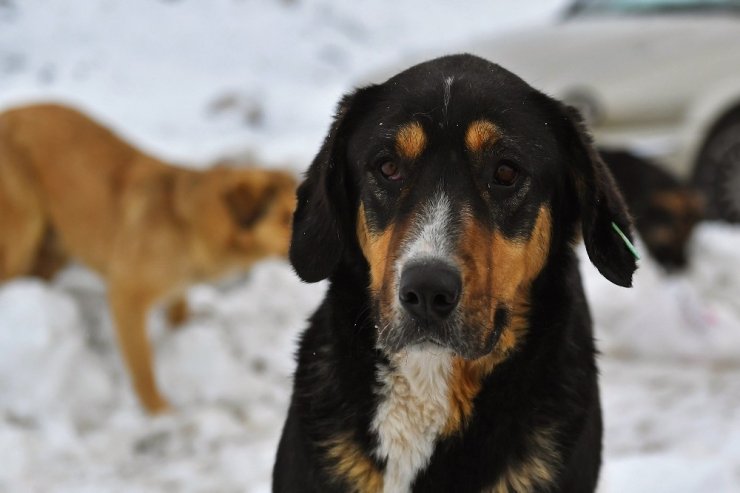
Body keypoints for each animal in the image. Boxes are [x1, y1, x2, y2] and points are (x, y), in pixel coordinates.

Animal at [0, 103, 294, 412]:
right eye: (286, 218)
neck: (186, 221)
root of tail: (9, 112)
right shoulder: (126, 297)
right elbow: (143, 366)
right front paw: (159, 411)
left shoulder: (177, 286)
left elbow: (179, 312)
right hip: (22, 236)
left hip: (56, 243)